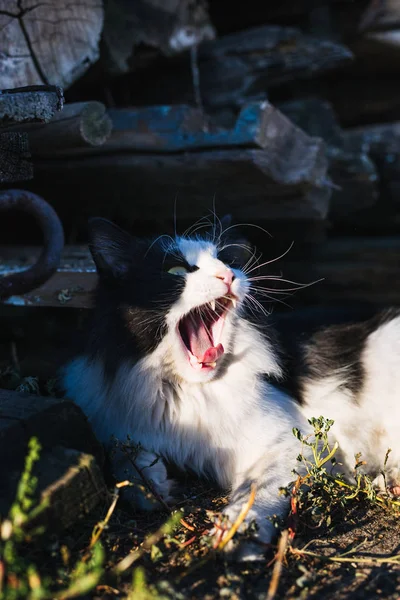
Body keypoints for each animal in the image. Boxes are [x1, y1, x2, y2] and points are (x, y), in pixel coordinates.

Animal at [61, 217, 400, 564]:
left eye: (224, 260)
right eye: (176, 271)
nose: (228, 275)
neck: (183, 389)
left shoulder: (291, 442)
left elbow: (254, 492)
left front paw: (235, 534)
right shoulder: (115, 427)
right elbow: (123, 461)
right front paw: (152, 488)